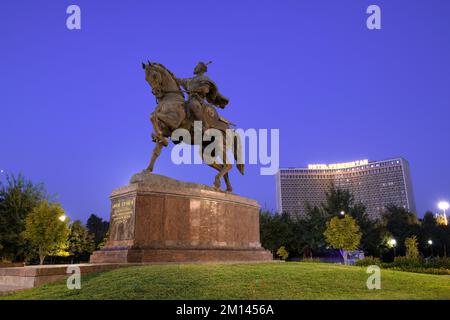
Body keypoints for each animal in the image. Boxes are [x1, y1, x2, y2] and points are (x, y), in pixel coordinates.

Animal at [142, 62, 244, 192]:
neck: (170, 99)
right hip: (206, 152)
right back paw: (225, 188)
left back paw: (217, 182)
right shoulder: (167, 130)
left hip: (221, 146)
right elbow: (156, 150)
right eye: (146, 78)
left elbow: (153, 115)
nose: (156, 92)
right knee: (221, 166)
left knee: (228, 165)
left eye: (154, 75)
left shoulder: (174, 121)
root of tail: (230, 129)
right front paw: (148, 169)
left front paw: (160, 138)